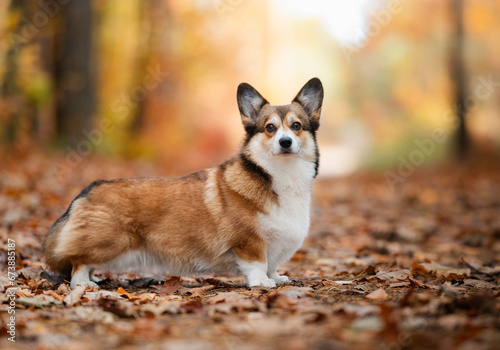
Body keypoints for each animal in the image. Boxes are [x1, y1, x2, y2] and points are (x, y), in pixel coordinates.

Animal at [43, 78, 324, 288]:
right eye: (269, 128)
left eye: (296, 126)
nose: (285, 142)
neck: (279, 176)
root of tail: (87, 189)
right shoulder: (249, 241)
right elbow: (258, 263)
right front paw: (262, 282)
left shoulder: (275, 245)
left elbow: (272, 264)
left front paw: (277, 277)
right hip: (109, 243)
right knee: (78, 261)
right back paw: (83, 284)